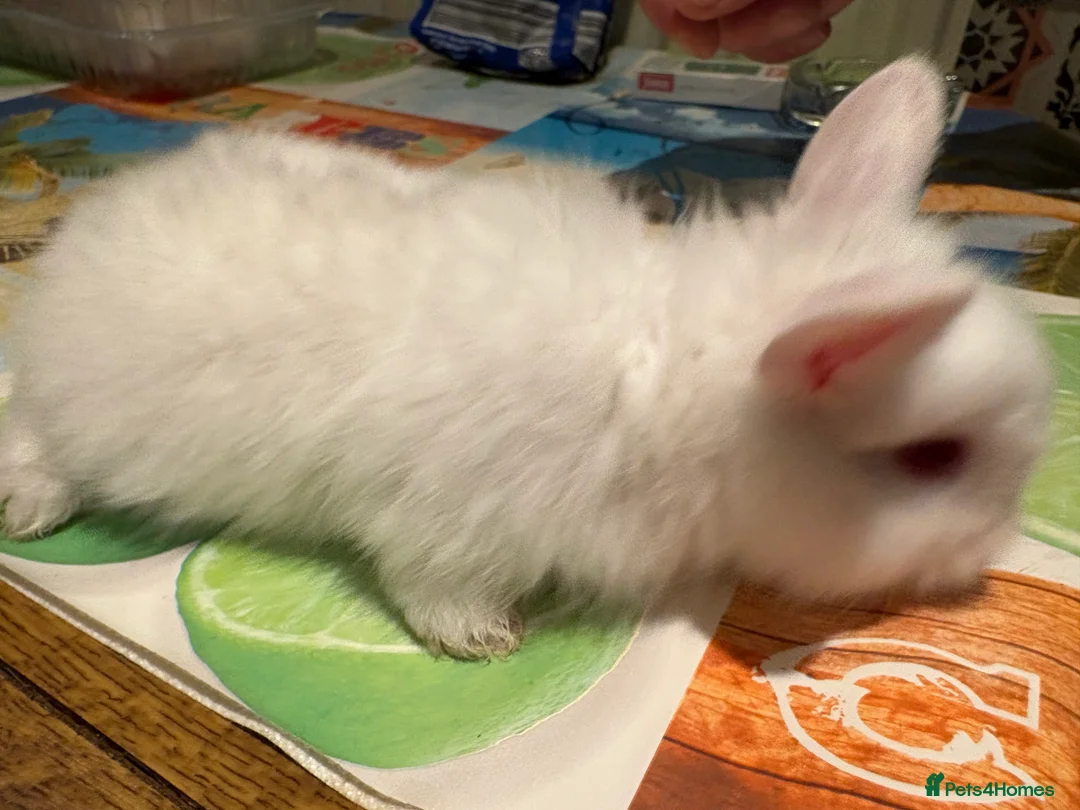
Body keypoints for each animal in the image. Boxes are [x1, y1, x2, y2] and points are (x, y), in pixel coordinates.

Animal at [0, 55, 1055, 660]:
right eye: (932, 459)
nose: (986, 559)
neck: (664, 379)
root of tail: (75, 239)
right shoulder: (441, 518)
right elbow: (433, 586)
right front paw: (484, 642)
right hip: (77, 409)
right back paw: (34, 510)